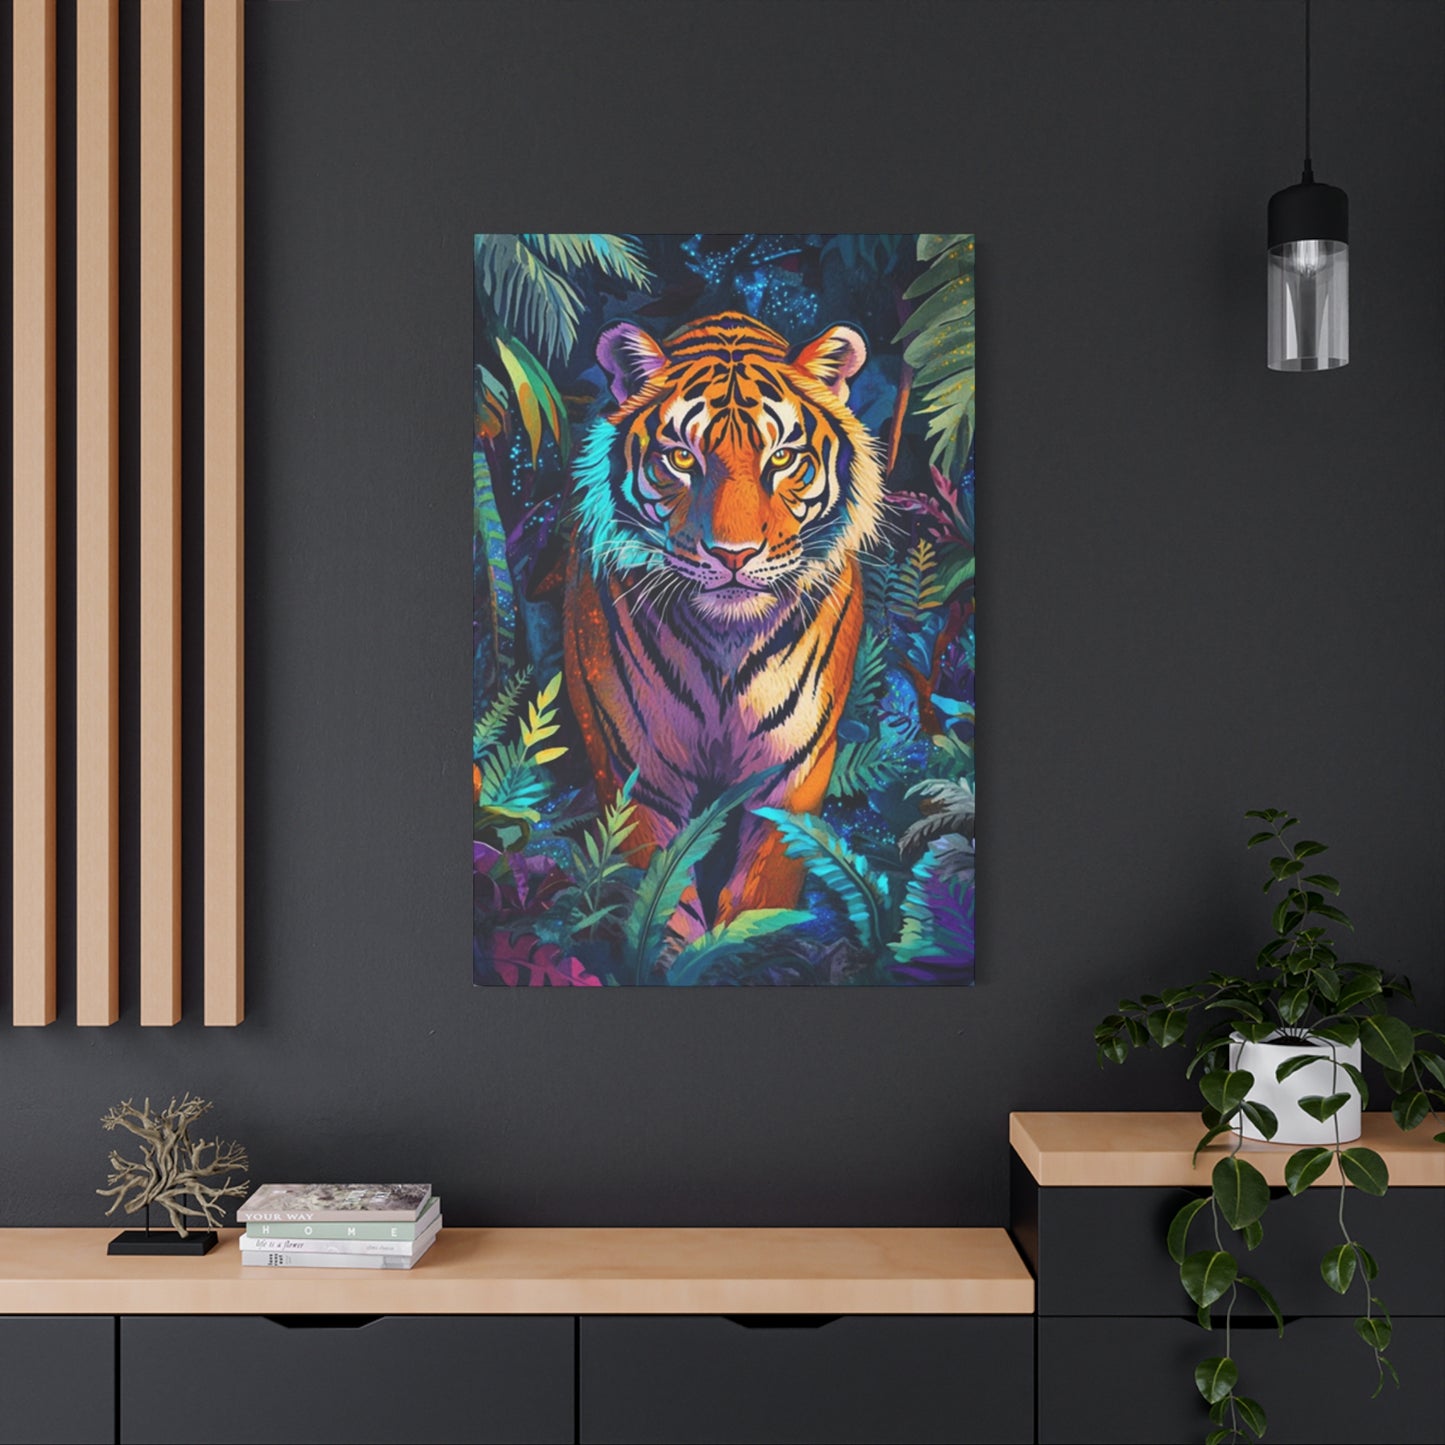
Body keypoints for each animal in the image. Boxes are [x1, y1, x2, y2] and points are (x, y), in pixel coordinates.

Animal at [563, 311, 885, 943]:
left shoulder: (793, 772)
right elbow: (662, 911)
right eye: (682, 459)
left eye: (781, 459)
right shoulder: (639, 776)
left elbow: (765, 893)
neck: (725, 645)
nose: (733, 556)